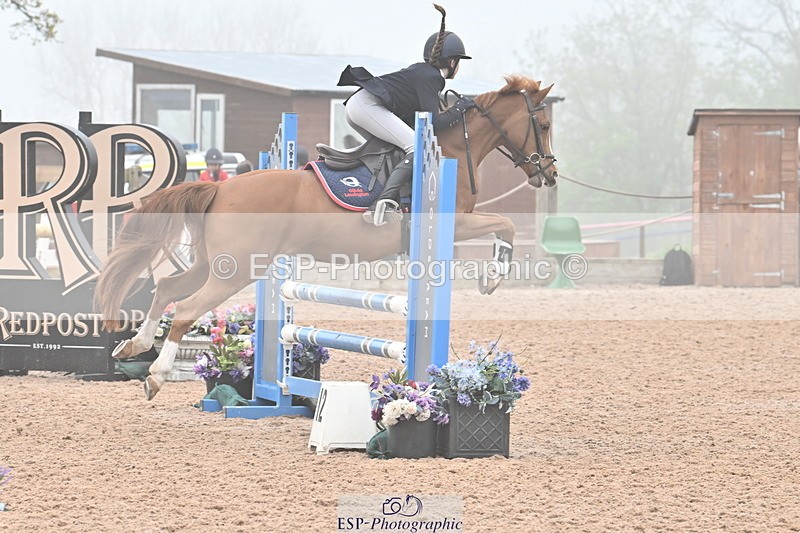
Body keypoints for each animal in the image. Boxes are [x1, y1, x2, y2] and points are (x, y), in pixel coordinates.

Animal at [95, 74, 558, 400]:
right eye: (544, 123)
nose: (549, 174)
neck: (451, 151)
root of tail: (222, 189)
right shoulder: (458, 222)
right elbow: (506, 225)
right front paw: (492, 278)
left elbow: (504, 225)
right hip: (237, 270)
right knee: (187, 307)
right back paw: (155, 377)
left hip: (216, 263)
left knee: (167, 286)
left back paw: (133, 347)